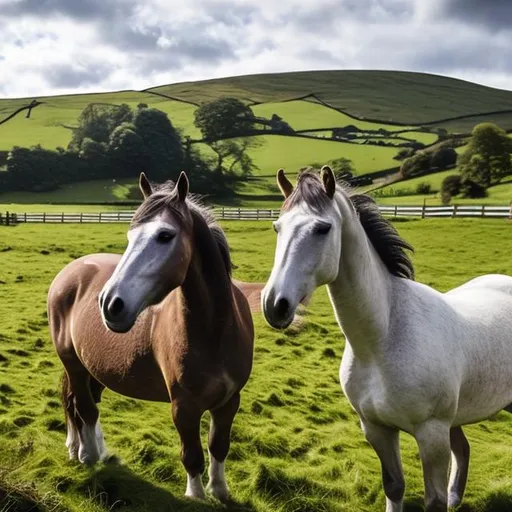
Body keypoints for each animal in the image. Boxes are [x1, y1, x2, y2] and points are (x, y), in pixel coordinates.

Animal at [47, 172, 254, 500]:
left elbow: (218, 446)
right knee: (83, 407)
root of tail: (71, 271)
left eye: (165, 235)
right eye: (130, 237)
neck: (215, 332)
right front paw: (196, 495)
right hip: (74, 365)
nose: (110, 303)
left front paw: (220, 491)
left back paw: (93, 450)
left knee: (84, 407)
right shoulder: (183, 407)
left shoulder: (229, 401)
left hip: (96, 368)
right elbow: (192, 454)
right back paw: (87, 455)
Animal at [262, 166, 512, 510]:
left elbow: (433, 501)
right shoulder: (377, 429)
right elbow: (394, 486)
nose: (275, 304)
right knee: (463, 449)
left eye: (323, 228)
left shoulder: (432, 434)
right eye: (277, 227)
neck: (383, 340)